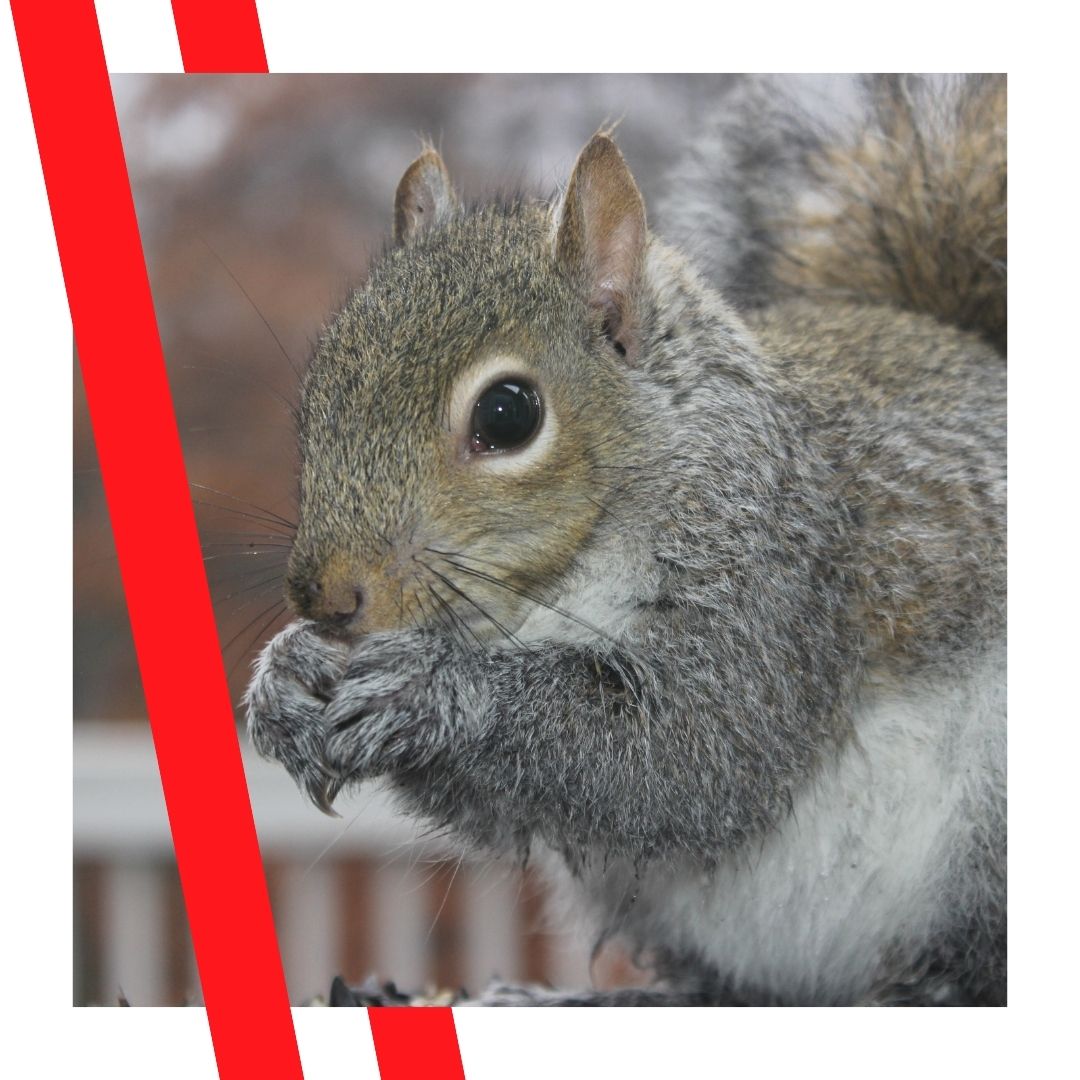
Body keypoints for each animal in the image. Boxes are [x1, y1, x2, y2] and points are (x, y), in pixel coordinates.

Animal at [245, 74, 1006, 1006]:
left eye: (508, 414)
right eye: (319, 390)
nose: (326, 596)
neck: (547, 594)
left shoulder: (779, 584)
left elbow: (692, 752)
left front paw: (433, 691)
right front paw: (286, 677)